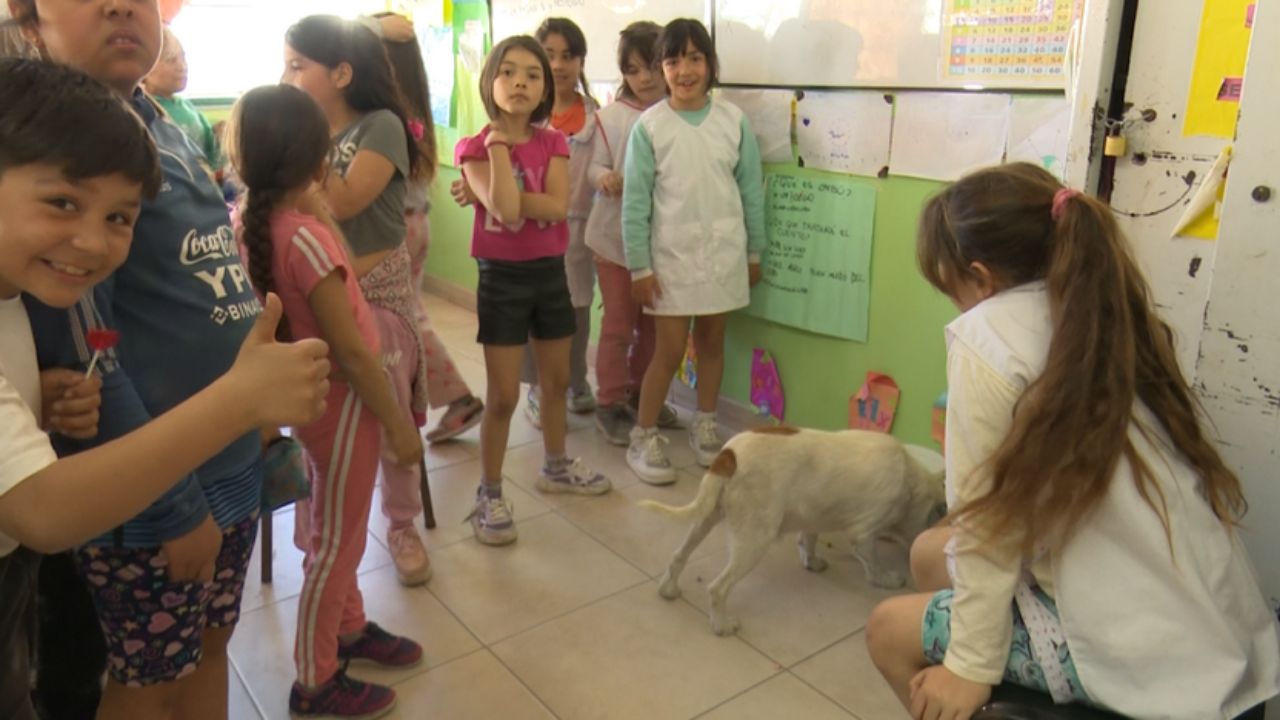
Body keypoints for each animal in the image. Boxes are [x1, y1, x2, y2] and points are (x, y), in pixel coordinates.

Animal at [640, 425, 952, 632]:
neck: (911, 481)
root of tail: (729, 455)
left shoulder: (812, 517)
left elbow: (808, 540)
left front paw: (811, 561)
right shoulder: (864, 534)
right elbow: (873, 564)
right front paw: (887, 579)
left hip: (706, 516)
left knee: (678, 556)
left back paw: (668, 590)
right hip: (755, 539)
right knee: (718, 588)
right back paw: (722, 625)